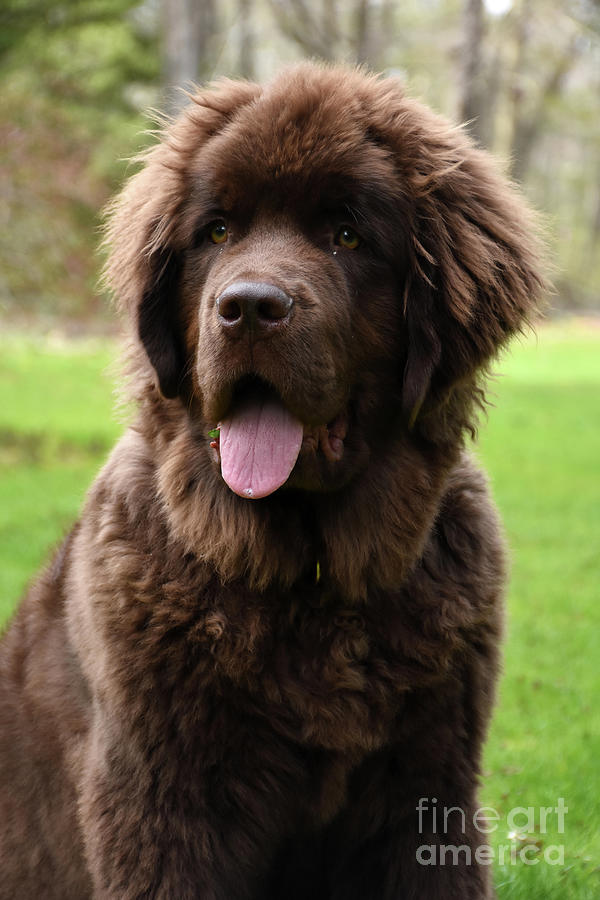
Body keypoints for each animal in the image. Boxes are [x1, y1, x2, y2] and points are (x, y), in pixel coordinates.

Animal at [0, 65, 544, 900]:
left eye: (346, 235)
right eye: (217, 232)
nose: (250, 307)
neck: (311, 582)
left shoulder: (427, 793)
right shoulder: (161, 806)